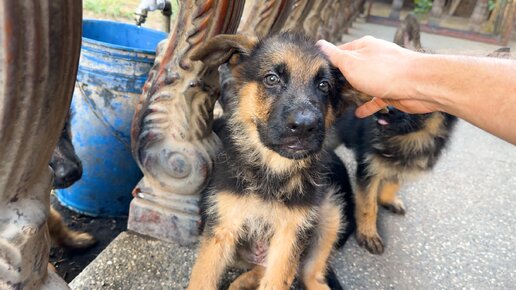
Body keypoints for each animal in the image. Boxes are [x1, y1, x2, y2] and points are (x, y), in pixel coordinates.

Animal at [187, 32, 356, 290]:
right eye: (272, 79)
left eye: (324, 86)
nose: (305, 126)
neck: (272, 172)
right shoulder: (222, 227)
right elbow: (201, 279)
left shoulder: (290, 237)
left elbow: (278, 280)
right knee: (261, 269)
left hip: (330, 213)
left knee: (309, 272)